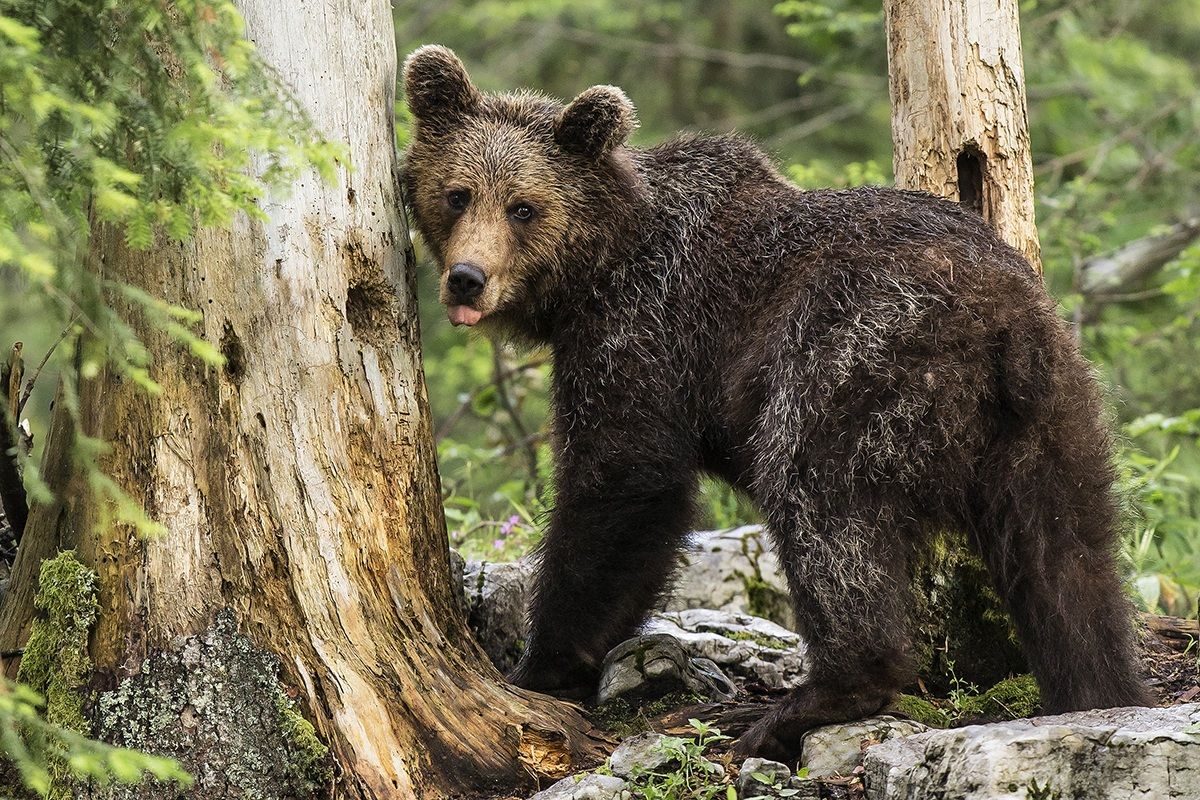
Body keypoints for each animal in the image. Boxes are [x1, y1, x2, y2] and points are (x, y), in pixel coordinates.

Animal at [401, 45, 1152, 760]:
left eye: (523, 206)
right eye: (458, 194)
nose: (467, 278)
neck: (592, 272)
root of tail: (1002, 318)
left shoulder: (641, 335)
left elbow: (623, 485)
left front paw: (542, 665)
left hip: (851, 355)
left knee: (821, 508)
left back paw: (798, 705)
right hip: (1051, 414)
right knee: (1067, 556)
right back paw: (1097, 685)